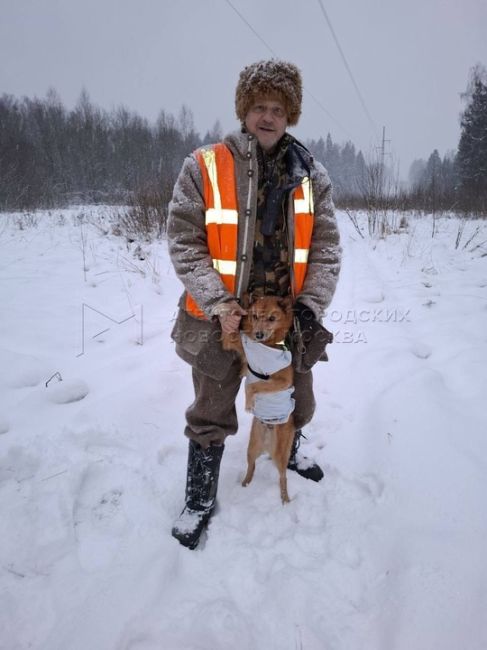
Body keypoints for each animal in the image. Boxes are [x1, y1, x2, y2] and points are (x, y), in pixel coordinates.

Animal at [223, 296, 296, 504]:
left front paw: (248, 404)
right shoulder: (241, 347)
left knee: (283, 476)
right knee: (252, 467)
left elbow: (252, 386)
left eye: (272, 318)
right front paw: (228, 313)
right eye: (254, 316)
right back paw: (245, 484)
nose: (258, 334)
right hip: (251, 448)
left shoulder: (283, 381)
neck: (266, 345)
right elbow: (229, 333)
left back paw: (285, 498)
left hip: (281, 455)